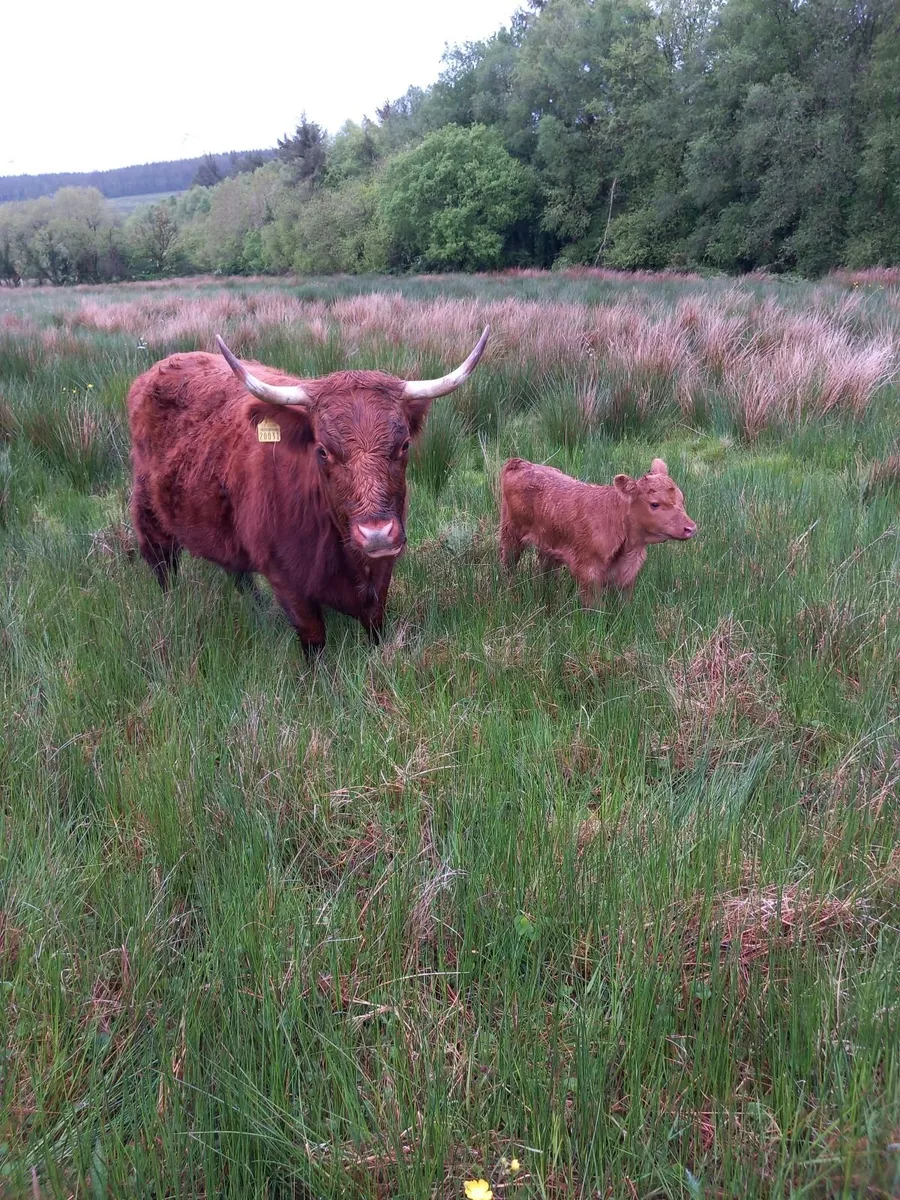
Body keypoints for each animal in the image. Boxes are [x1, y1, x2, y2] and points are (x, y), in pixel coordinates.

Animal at [127, 327, 490, 654]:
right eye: (323, 451)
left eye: (404, 445)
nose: (376, 533)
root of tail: (159, 367)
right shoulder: (286, 577)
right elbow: (313, 639)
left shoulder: (384, 567)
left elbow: (375, 625)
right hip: (148, 510)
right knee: (161, 562)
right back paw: (172, 606)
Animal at [498, 456, 696, 604]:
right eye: (654, 504)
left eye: (681, 499)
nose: (691, 528)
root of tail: (522, 463)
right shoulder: (588, 573)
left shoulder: (628, 576)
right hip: (510, 535)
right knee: (508, 566)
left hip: (548, 546)